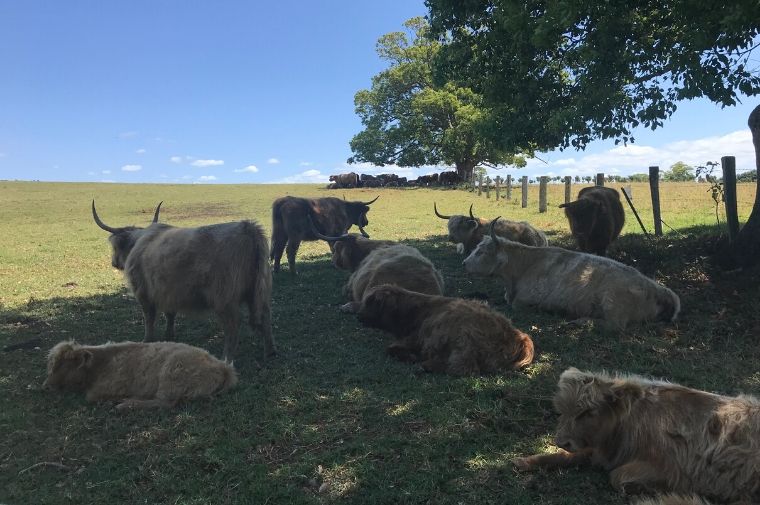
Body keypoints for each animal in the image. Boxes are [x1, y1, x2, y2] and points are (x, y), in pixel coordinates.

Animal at [43, 338, 238, 410]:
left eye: (64, 364)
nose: (46, 385)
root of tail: (222, 366)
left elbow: (92, 397)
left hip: (171, 378)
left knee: (165, 403)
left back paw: (126, 404)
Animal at [358, 284, 532, 374]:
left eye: (368, 303)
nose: (359, 317)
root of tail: (519, 336)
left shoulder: (418, 337)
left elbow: (391, 348)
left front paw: (410, 356)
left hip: (464, 338)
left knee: (464, 367)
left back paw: (426, 365)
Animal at [466, 218, 680, 326]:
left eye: (481, 251)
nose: (464, 263)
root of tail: (662, 291)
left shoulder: (523, 301)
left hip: (612, 304)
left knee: (611, 325)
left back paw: (578, 322)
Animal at [510, 368, 760, 502]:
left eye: (587, 412)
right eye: (562, 410)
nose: (561, 440)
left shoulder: (669, 466)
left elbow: (617, 477)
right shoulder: (601, 450)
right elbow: (567, 456)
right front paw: (523, 461)